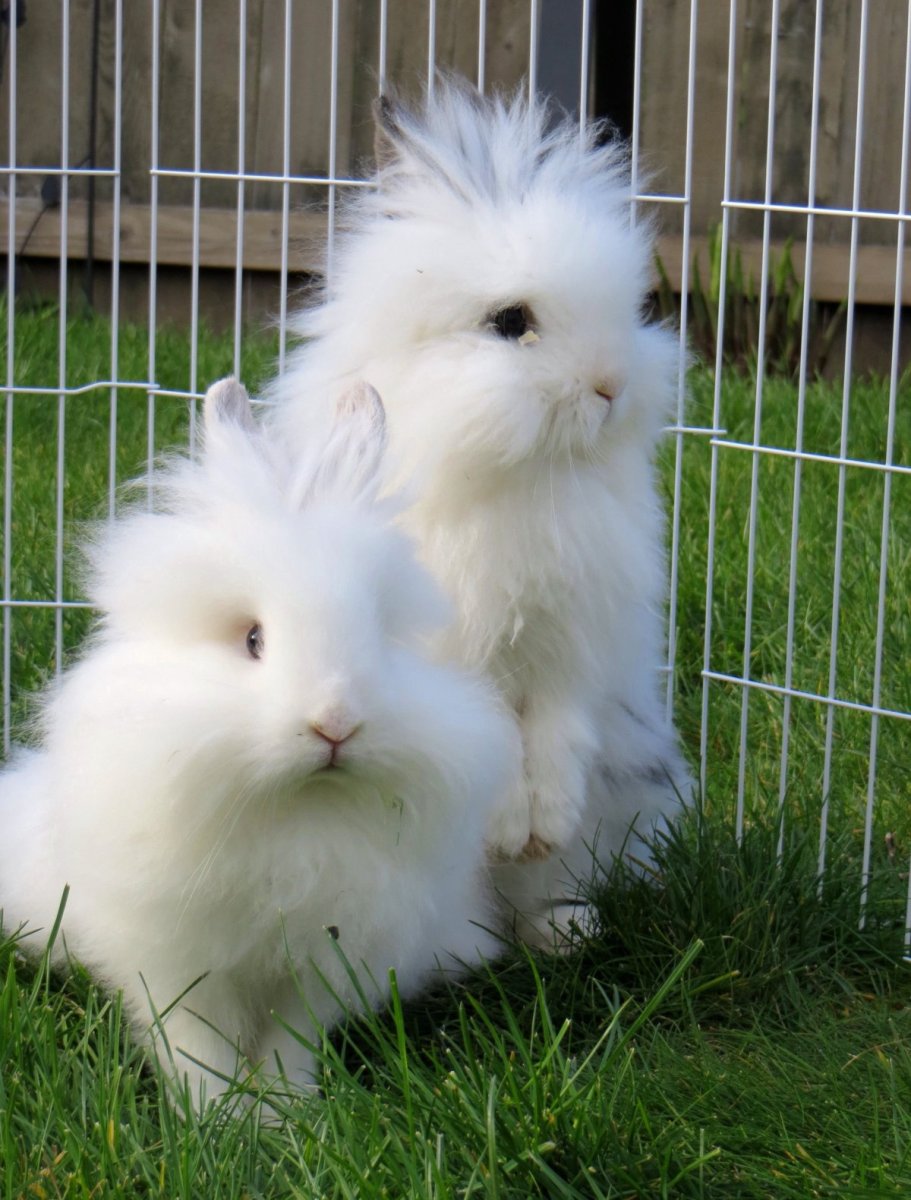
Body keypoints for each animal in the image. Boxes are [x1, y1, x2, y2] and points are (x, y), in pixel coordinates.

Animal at [0, 376, 522, 1109]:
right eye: (252, 639)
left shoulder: (325, 959)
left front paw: (286, 1111)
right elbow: (197, 1044)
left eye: (381, 635)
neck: (295, 815)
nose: (335, 724)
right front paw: (216, 1114)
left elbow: (290, 1041)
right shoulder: (180, 964)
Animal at [266, 79, 694, 949]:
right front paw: (505, 827)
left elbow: (558, 729)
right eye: (509, 322)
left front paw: (542, 826)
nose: (610, 386)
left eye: (633, 308)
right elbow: (488, 735)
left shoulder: (578, 640)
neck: (516, 479)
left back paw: (563, 930)